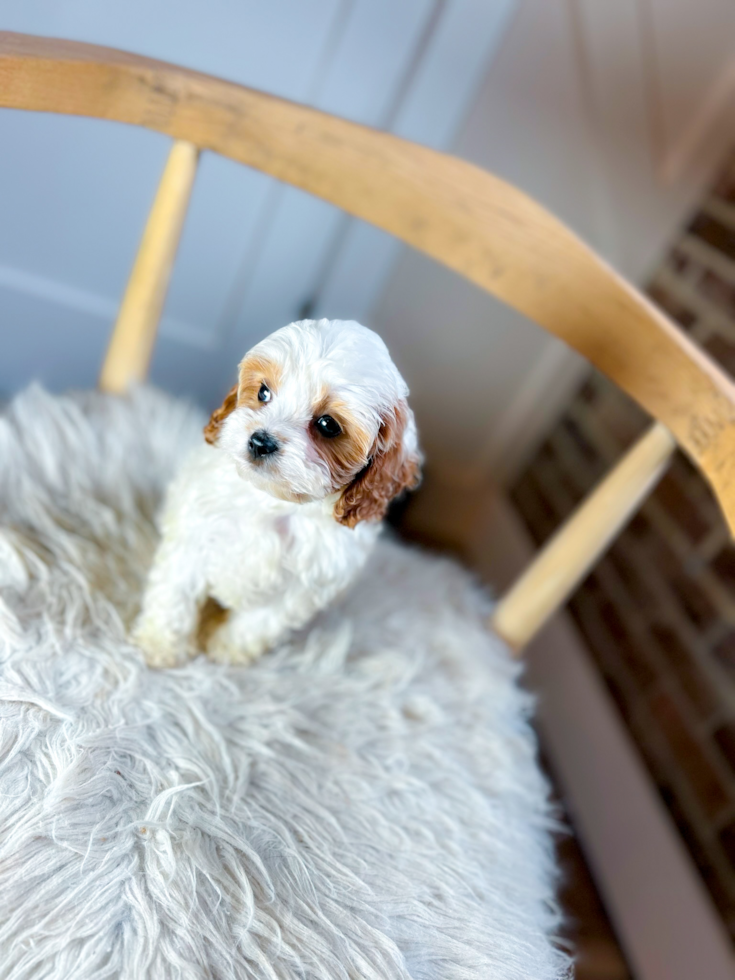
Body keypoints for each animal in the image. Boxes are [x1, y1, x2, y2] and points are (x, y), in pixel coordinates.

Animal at [132, 320, 420, 668]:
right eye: (263, 392)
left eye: (328, 424)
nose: (260, 441)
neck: (274, 501)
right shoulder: (195, 532)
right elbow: (176, 592)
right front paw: (161, 644)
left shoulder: (302, 586)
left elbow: (259, 622)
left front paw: (227, 649)